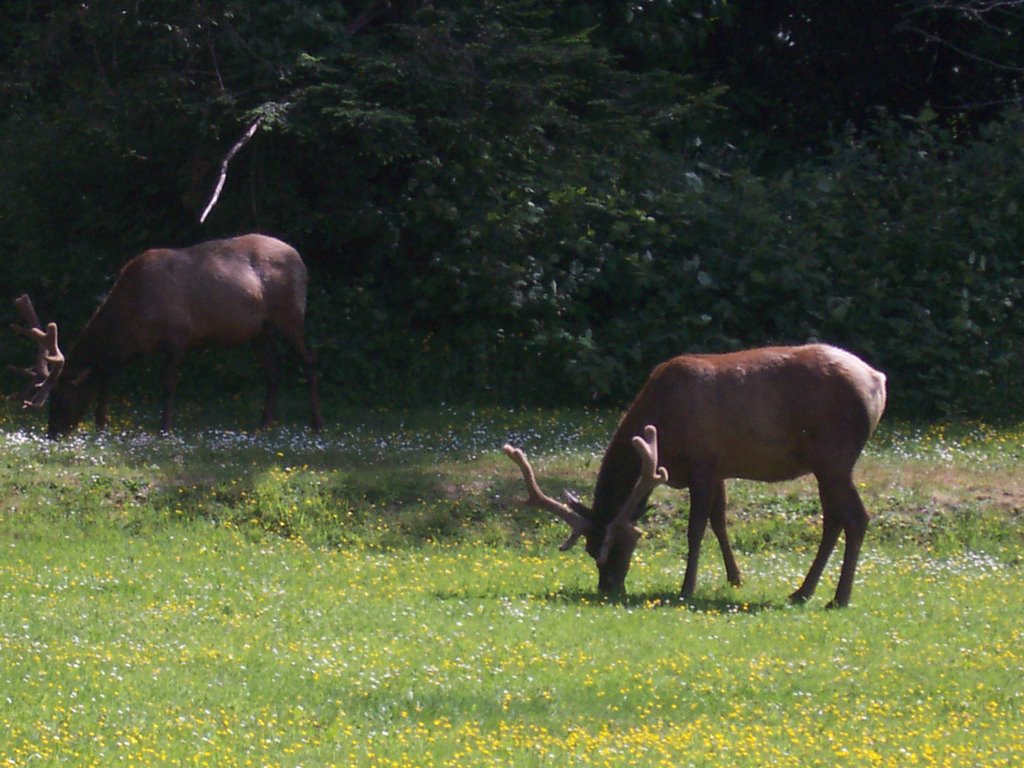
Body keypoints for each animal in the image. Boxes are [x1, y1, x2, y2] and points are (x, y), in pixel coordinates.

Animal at [9, 233, 323, 438]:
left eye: (61, 395)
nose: (52, 433)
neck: (130, 317)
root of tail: (301, 260)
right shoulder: (135, 348)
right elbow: (107, 380)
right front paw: (101, 424)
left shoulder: (178, 336)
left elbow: (168, 384)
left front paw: (164, 428)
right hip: (259, 330)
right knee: (274, 369)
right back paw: (264, 424)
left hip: (290, 313)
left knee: (308, 360)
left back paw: (316, 423)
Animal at [505, 348, 888, 606]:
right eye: (588, 549)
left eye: (613, 547)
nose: (607, 588)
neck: (663, 423)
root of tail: (878, 381)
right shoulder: (717, 468)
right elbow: (720, 522)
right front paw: (735, 578)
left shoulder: (702, 464)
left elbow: (695, 529)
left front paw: (687, 588)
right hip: (826, 465)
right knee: (834, 520)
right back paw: (803, 592)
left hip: (835, 456)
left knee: (856, 517)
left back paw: (838, 598)